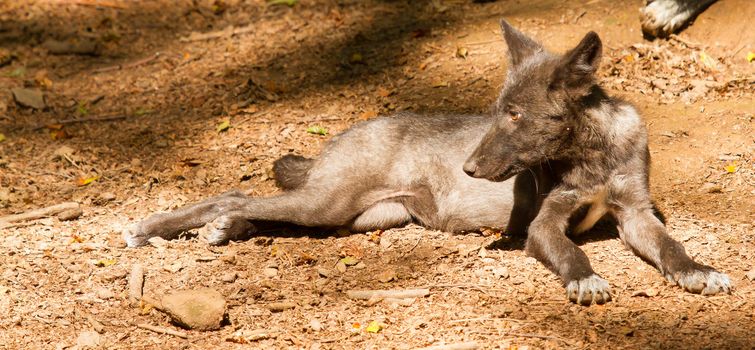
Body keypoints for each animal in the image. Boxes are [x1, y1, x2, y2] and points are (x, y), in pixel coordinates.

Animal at [124, 19, 732, 304]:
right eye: (496, 112)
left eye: (516, 115)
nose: (467, 169)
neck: (593, 153)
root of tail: (345, 133)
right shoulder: (544, 224)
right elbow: (570, 253)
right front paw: (585, 280)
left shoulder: (637, 215)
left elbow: (672, 248)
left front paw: (697, 270)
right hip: (329, 202)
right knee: (234, 193)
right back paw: (154, 226)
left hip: (356, 219)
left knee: (257, 210)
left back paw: (229, 229)